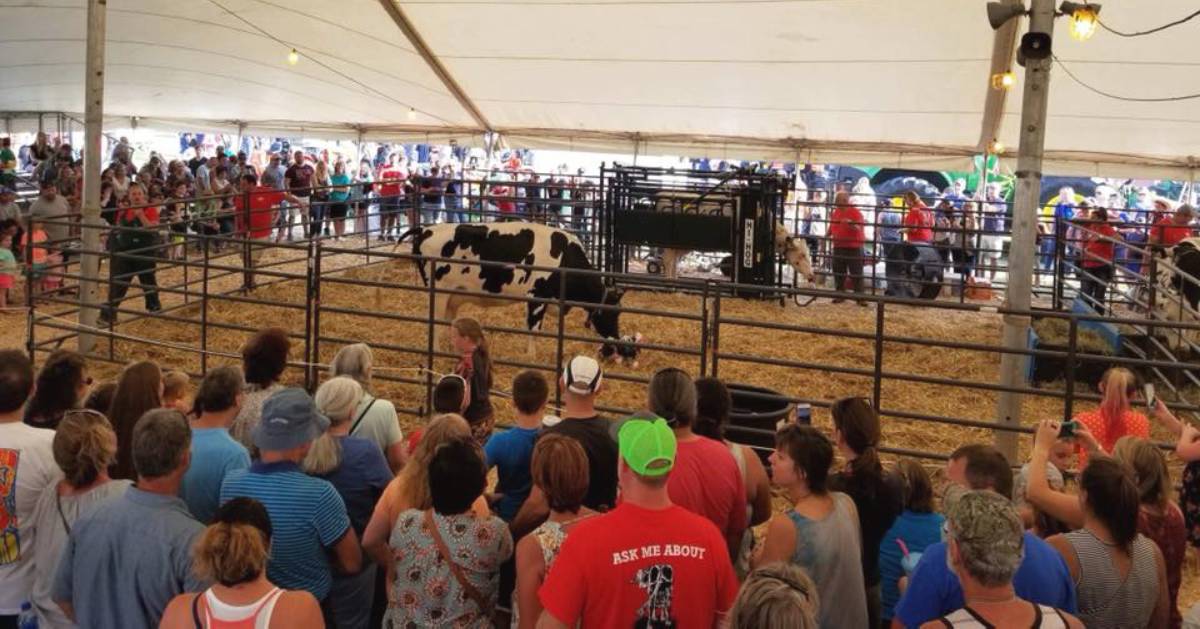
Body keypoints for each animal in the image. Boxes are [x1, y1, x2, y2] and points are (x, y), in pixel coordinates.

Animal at [400, 223, 628, 355]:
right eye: (612, 313)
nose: (616, 341)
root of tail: (425, 229)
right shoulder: (537, 296)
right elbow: (534, 329)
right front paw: (531, 357)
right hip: (438, 291)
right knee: (435, 320)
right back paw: (437, 352)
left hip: (453, 295)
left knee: (449, 320)